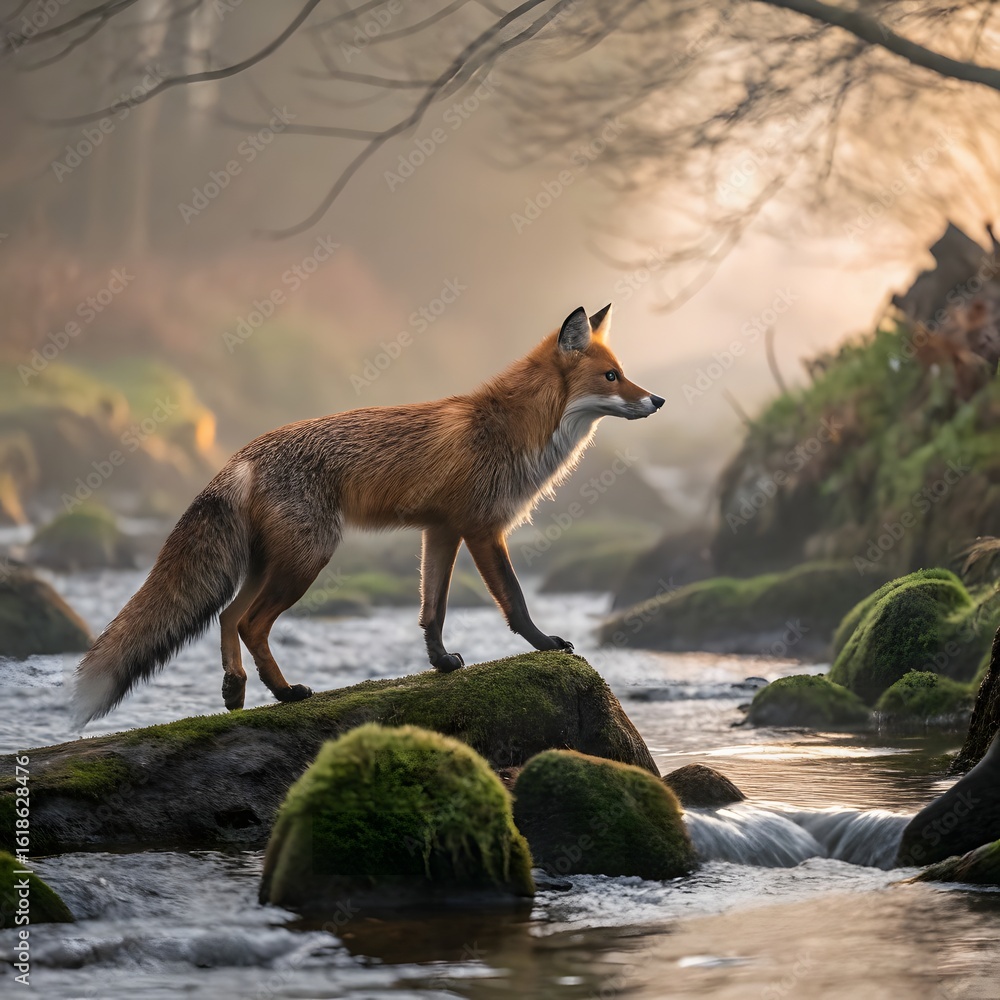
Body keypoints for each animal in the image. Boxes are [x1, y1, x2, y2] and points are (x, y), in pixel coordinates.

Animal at [73, 304, 664, 724]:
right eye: (612, 377)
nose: (657, 400)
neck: (515, 429)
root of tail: (243, 453)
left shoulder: (441, 530)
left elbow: (433, 610)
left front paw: (440, 663)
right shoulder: (482, 528)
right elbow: (515, 602)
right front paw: (545, 645)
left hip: (272, 563)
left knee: (228, 616)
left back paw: (236, 691)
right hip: (308, 560)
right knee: (250, 622)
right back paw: (284, 694)